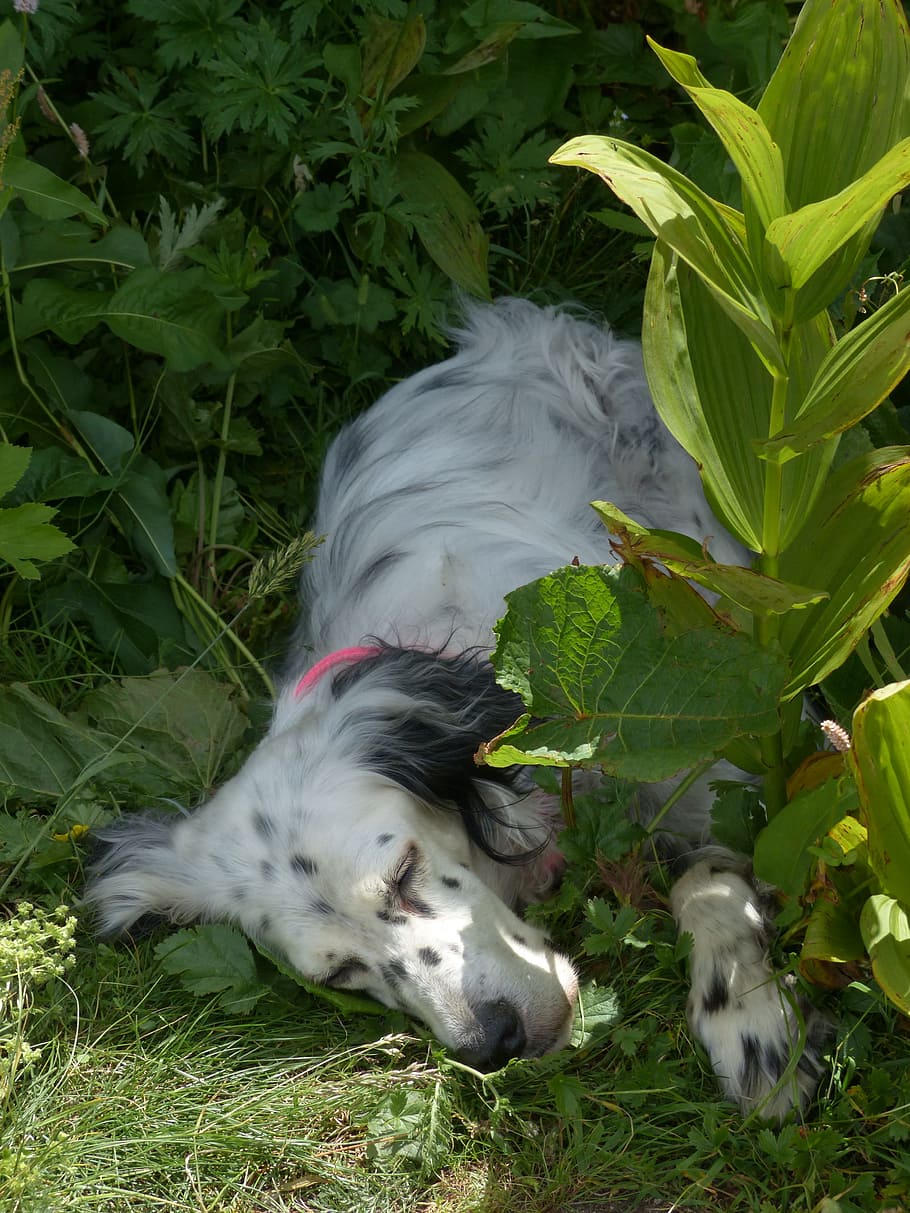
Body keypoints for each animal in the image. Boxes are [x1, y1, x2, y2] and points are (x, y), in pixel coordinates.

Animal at [89, 300, 829, 1115]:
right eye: (341, 973)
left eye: (405, 872)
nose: (494, 1041)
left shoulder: (731, 762)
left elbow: (713, 877)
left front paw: (755, 1026)